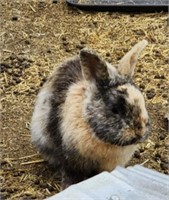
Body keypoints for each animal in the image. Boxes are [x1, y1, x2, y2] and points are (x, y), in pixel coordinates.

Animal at [30, 39, 151, 189]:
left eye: (143, 102)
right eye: (114, 109)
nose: (139, 132)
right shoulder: (71, 162)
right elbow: (71, 175)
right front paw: (68, 186)